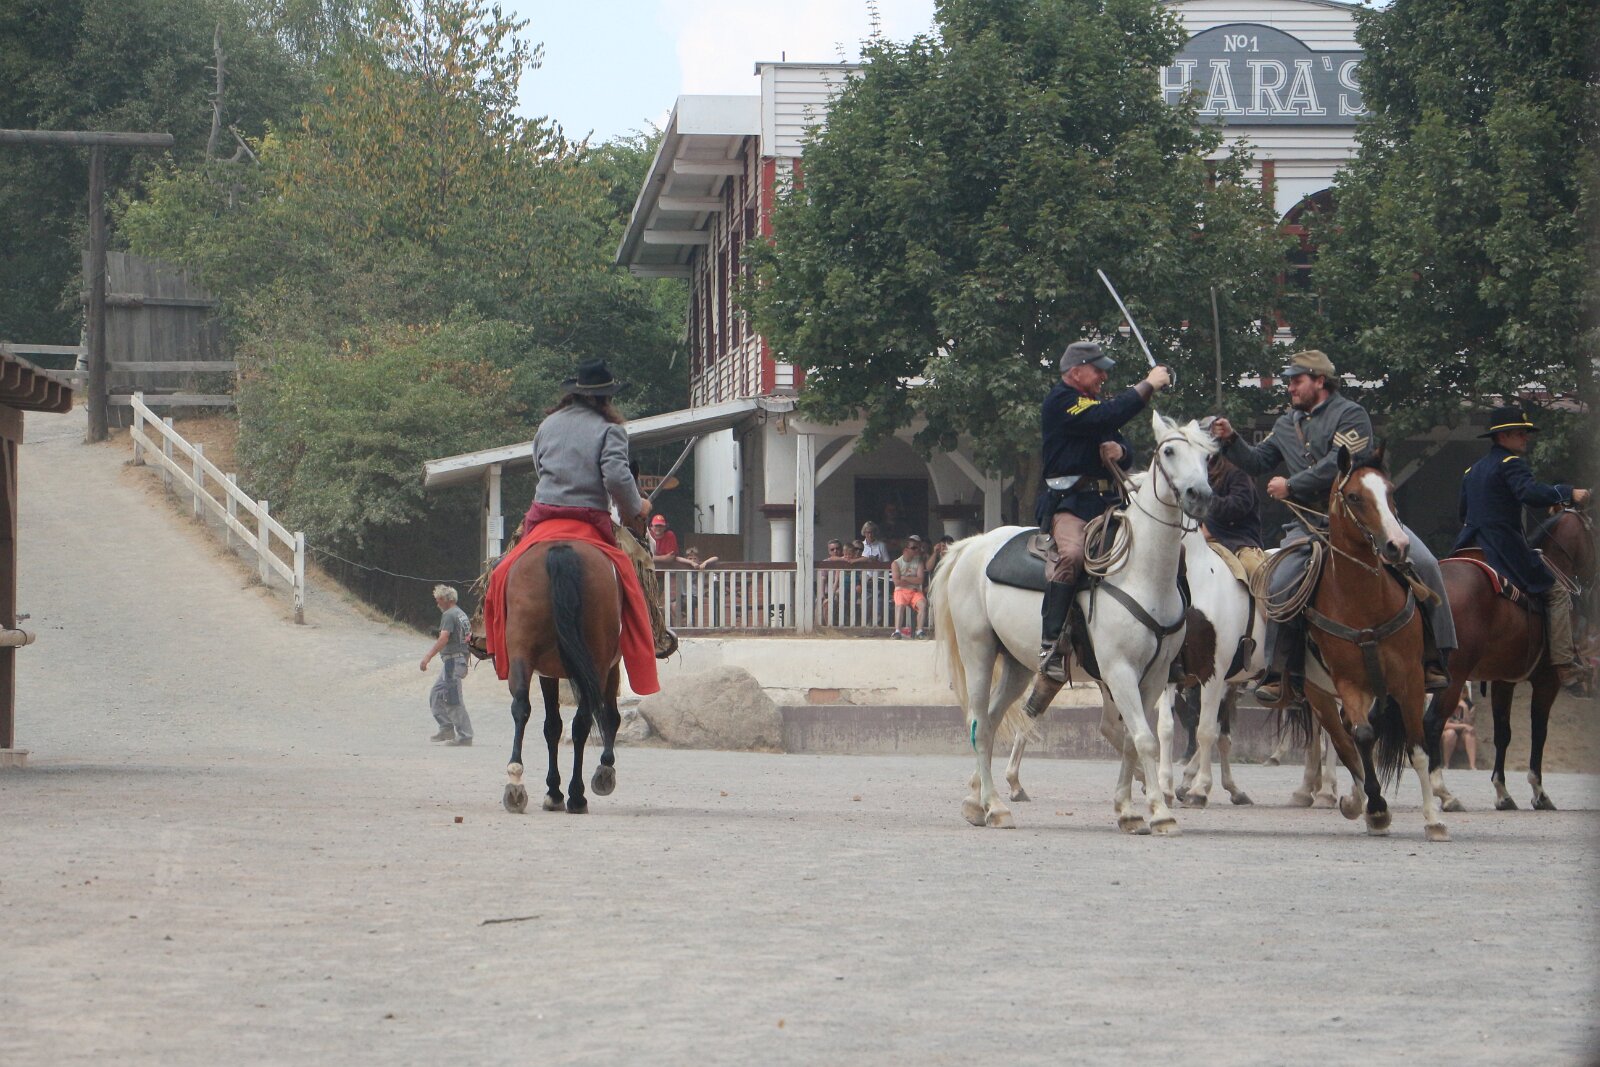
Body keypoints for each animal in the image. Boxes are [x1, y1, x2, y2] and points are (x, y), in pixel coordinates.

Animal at [500, 541, 623, 815]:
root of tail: (561, 548)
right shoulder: (611, 666)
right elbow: (610, 716)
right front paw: (605, 768)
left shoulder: (547, 673)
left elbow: (552, 726)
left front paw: (553, 791)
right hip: (597, 659)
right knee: (583, 720)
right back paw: (577, 795)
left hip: (521, 649)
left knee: (521, 706)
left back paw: (515, 782)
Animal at [930, 409, 1214, 833]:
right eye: (1169, 451)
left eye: (1208, 455)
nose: (1200, 495)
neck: (1139, 572)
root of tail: (971, 546)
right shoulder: (1119, 671)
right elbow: (1144, 739)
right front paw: (1160, 813)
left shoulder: (1155, 675)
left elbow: (1132, 738)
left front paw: (1129, 811)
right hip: (978, 651)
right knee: (979, 724)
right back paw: (995, 807)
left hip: (1017, 665)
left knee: (994, 722)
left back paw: (975, 802)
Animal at [1295, 446, 1449, 841]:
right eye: (1354, 497)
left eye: (1390, 491)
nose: (1397, 546)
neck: (1364, 603)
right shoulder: (1349, 683)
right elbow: (1362, 738)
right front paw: (1377, 808)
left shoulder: (1410, 681)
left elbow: (1418, 749)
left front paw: (1433, 818)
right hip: (1321, 695)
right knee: (1346, 741)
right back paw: (1357, 800)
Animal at [1429, 504, 1595, 812]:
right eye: (1593, 536)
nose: (1591, 581)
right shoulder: (1547, 681)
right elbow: (1539, 731)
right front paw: (1539, 793)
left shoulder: (1502, 681)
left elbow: (1502, 734)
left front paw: (1502, 792)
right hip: (1453, 678)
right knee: (1431, 723)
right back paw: (1444, 794)